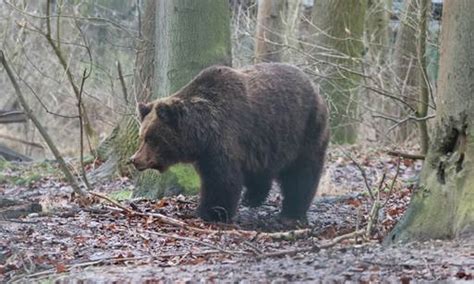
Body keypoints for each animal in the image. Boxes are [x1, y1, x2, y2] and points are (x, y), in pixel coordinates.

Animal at [131, 63, 330, 223]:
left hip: (305, 130)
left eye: (151, 138)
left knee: (301, 173)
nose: (134, 159)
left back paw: (292, 212)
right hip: (269, 142)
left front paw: (210, 212)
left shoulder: (223, 141)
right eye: (141, 137)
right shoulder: (208, 153)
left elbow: (221, 180)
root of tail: (315, 87)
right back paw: (252, 198)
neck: (202, 135)